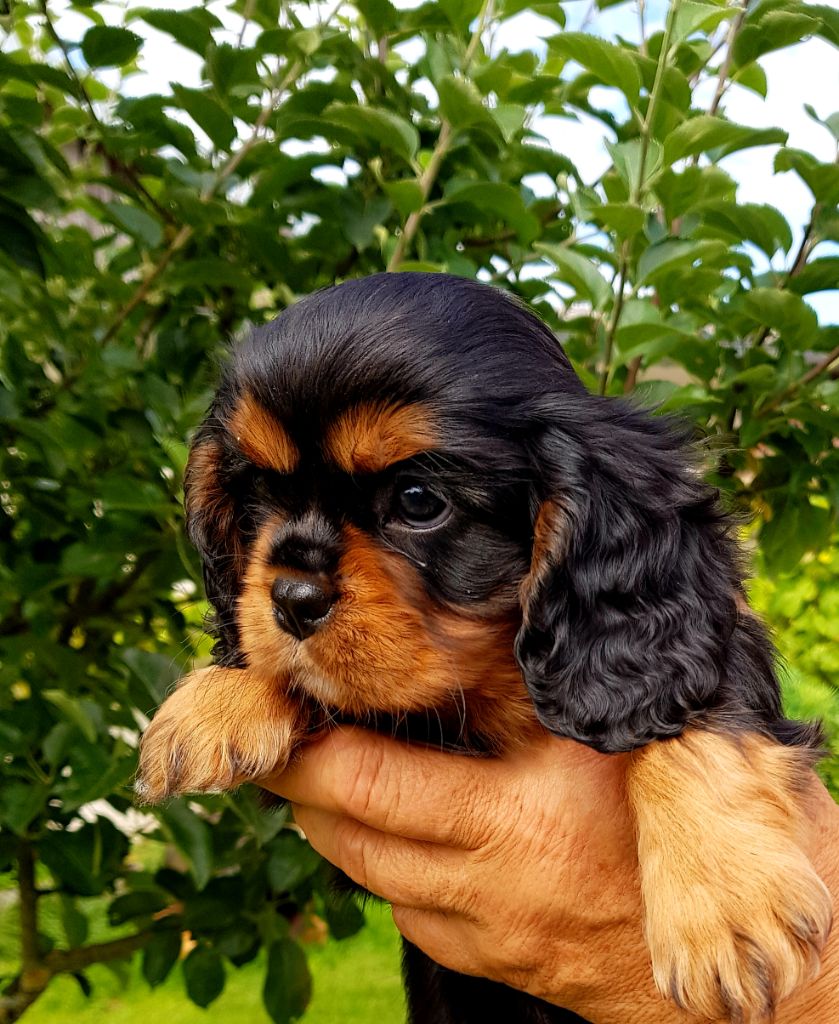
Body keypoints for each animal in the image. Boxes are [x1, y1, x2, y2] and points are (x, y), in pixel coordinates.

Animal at [138, 272, 831, 1024]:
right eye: (259, 492)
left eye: (418, 500)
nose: (292, 597)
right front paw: (219, 698)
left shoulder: (700, 641)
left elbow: (699, 711)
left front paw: (722, 902)